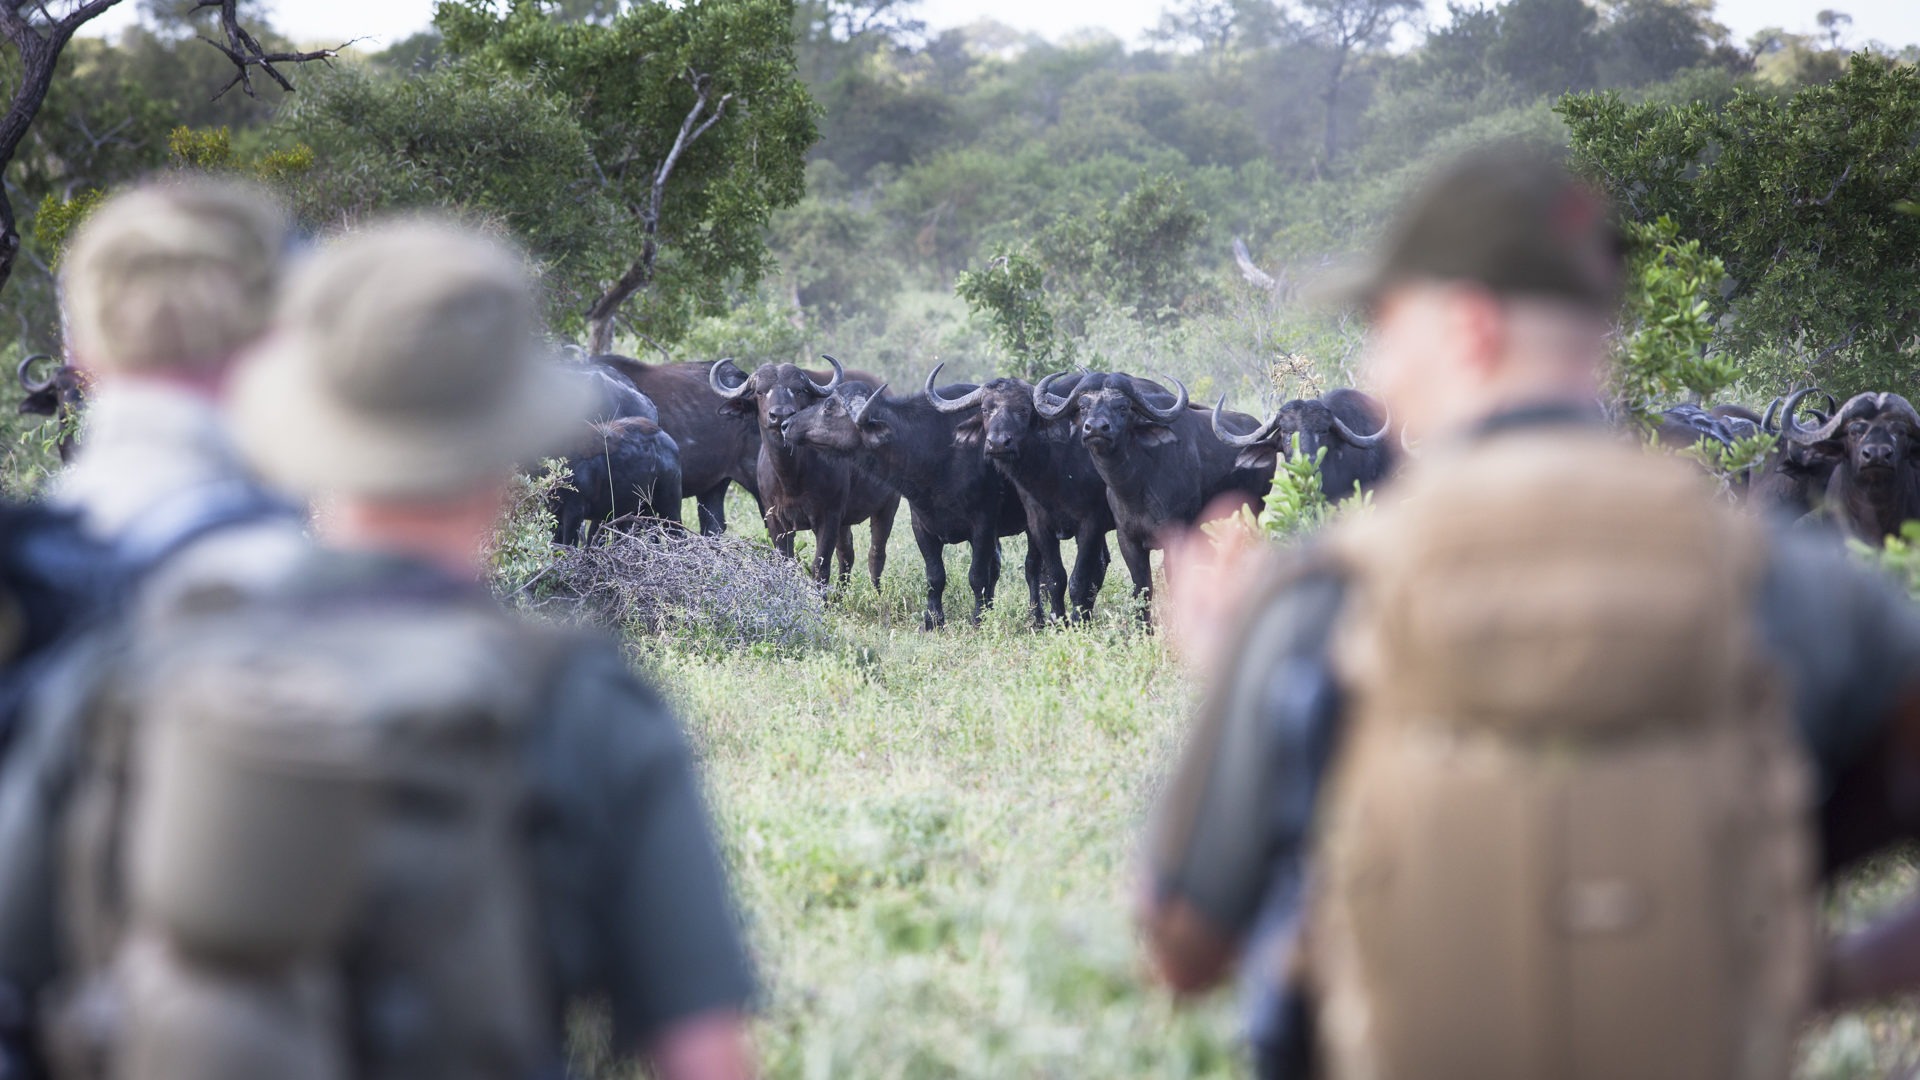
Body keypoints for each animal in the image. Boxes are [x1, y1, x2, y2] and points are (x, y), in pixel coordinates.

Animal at [551, 416, 684, 545]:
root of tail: (667, 439)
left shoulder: (574, 512)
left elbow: (568, 546)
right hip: (640, 510)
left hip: (669, 506)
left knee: (679, 536)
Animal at [711, 357, 900, 588]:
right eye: (760, 391)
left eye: (798, 390)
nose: (780, 415)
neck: (791, 478)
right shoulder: (775, 520)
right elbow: (786, 563)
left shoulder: (828, 517)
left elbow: (820, 568)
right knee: (847, 553)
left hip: (887, 506)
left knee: (876, 554)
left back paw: (875, 592)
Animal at [788, 378, 1034, 629]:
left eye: (829, 406)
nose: (787, 424)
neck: (937, 451)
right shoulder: (921, 526)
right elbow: (935, 576)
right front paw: (933, 621)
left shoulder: (983, 526)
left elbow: (977, 576)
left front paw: (977, 620)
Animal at [925, 367, 1113, 623]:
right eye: (985, 409)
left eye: (1023, 410)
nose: (997, 443)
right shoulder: (1036, 525)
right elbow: (1054, 576)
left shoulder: (1089, 523)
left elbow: (1074, 576)